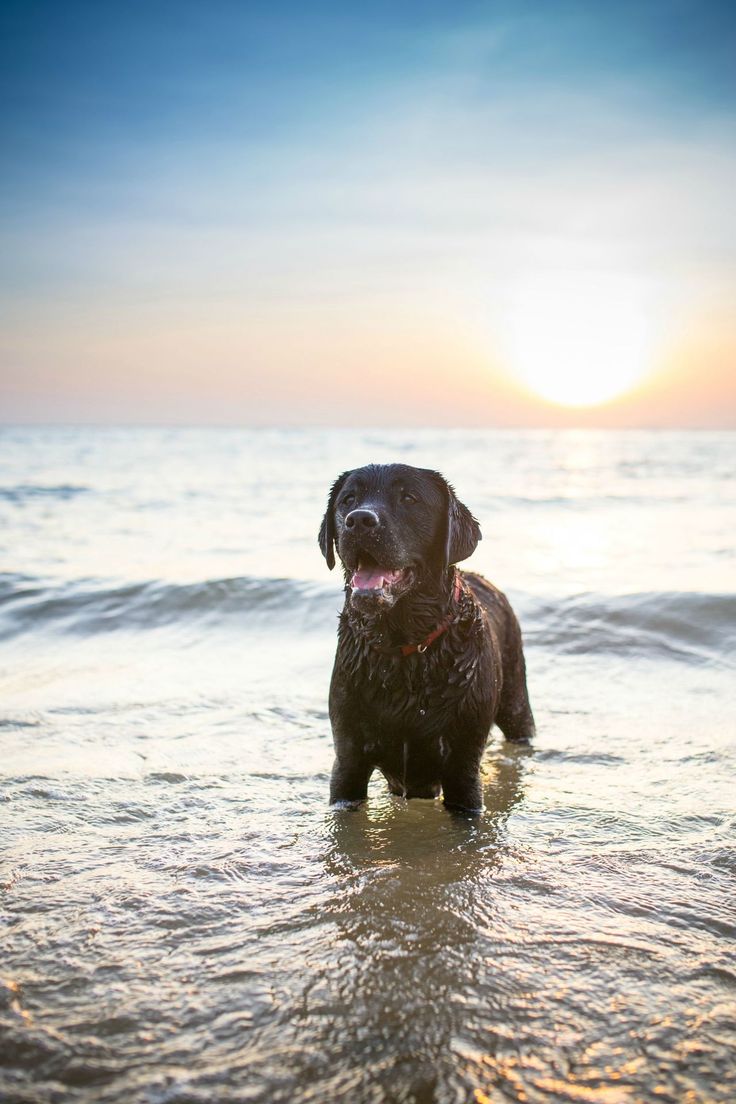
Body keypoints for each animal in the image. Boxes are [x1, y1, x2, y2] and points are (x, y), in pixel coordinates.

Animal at [317, 461, 536, 816]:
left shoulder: (462, 768)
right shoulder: (348, 762)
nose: (359, 520)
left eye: (409, 498)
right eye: (348, 500)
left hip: (516, 702)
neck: (402, 649)